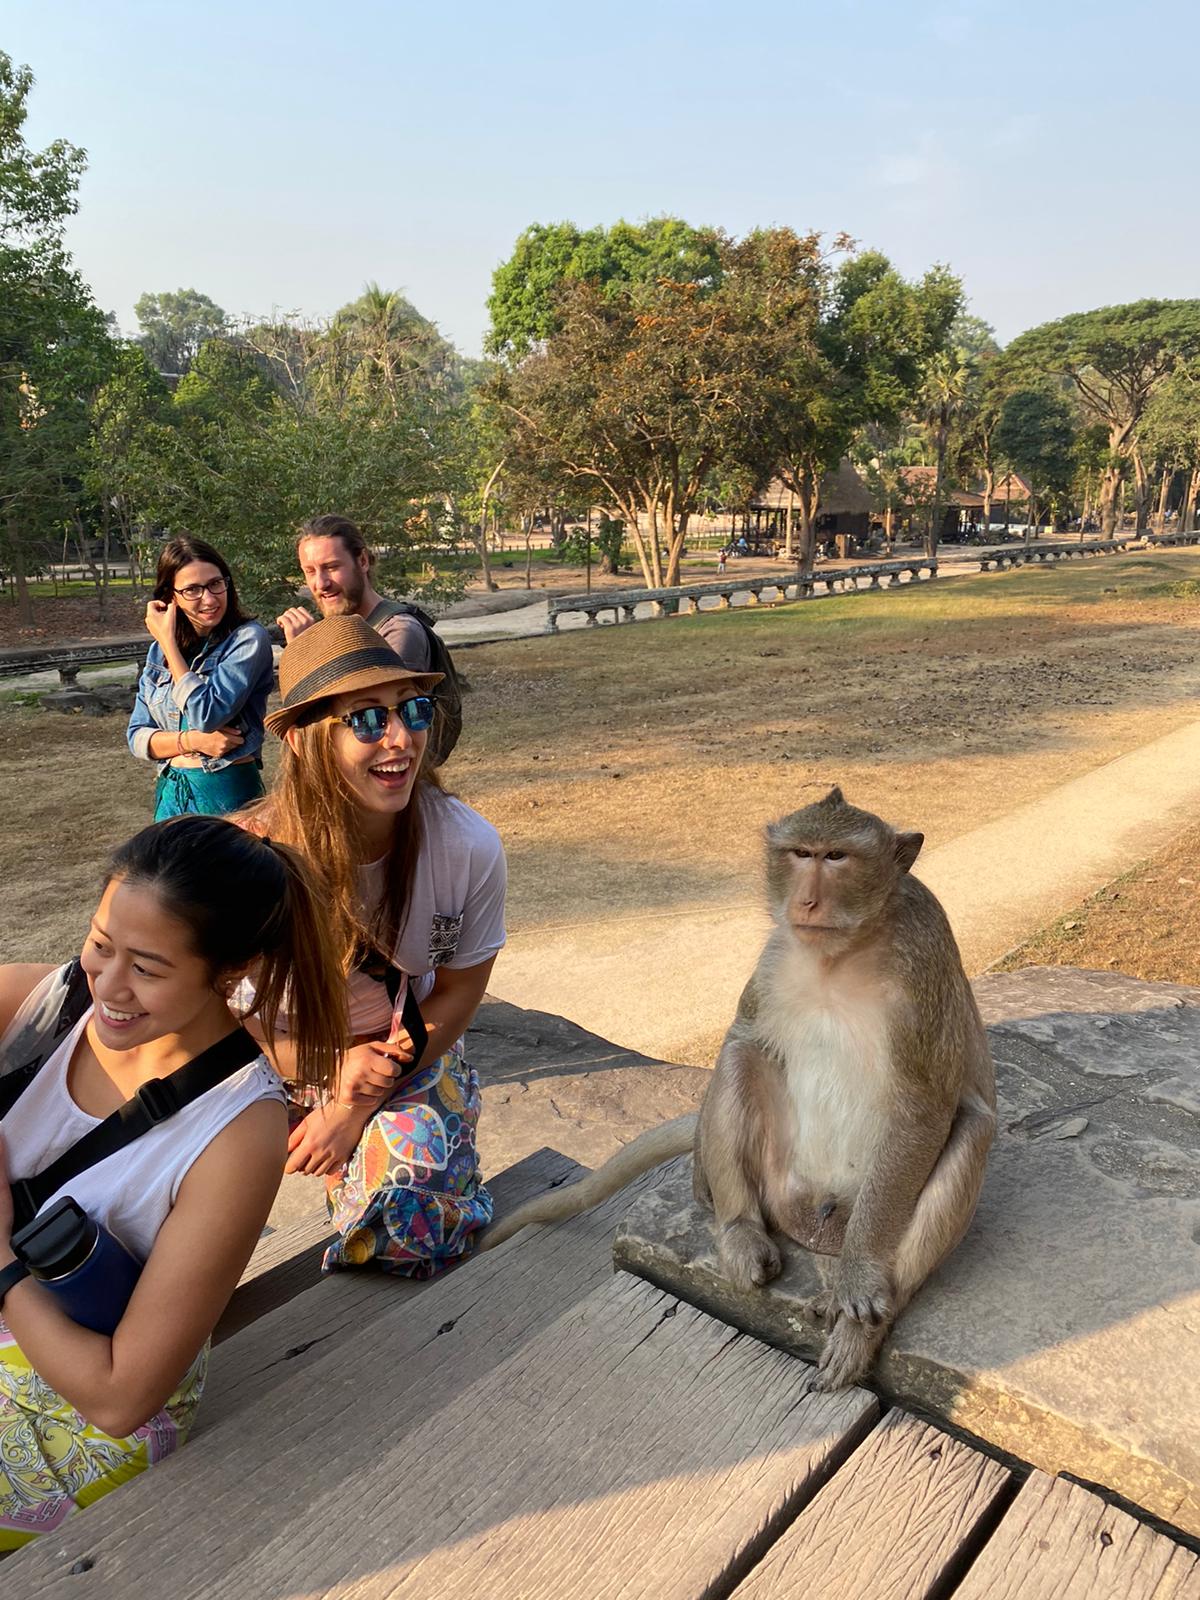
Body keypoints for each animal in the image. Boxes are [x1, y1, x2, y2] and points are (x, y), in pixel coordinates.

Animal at [478, 788, 996, 1392]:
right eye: (800, 853)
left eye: (837, 857)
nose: (807, 901)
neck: (840, 955)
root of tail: (816, 1225)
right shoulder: (775, 957)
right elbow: (743, 1037)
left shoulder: (924, 955)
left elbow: (923, 1105)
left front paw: (861, 1279)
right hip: (777, 1181)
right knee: (742, 1058)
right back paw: (739, 1231)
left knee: (971, 1128)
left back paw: (853, 1323)